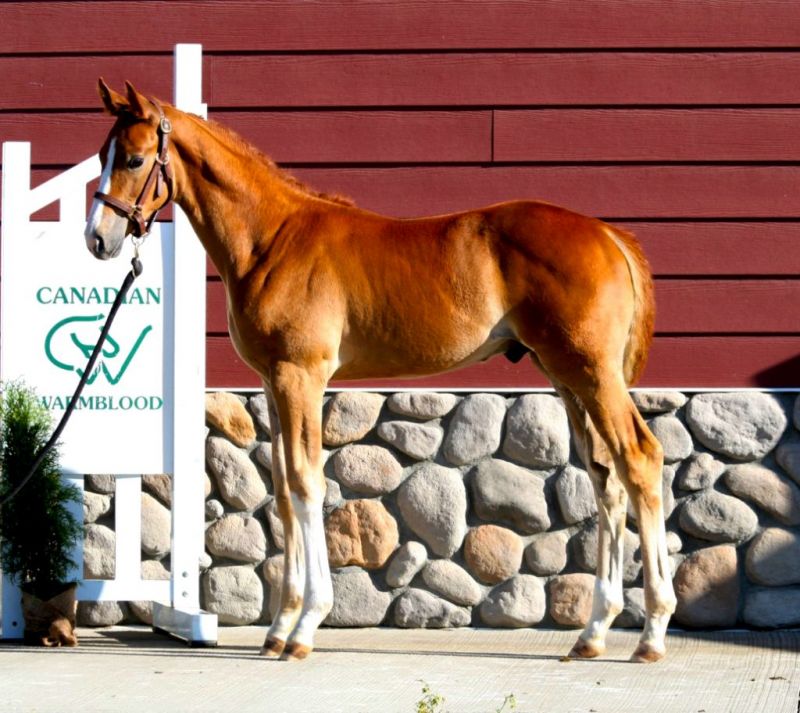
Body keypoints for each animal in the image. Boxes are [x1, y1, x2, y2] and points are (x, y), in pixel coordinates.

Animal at [85, 80, 676, 663]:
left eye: (135, 159)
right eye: (102, 154)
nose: (98, 239)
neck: (271, 239)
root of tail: (608, 235)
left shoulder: (301, 376)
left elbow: (306, 484)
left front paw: (305, 627)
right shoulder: (273, 381)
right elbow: (282, 489)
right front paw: (278, 628)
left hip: (592, 374)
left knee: (640, 460)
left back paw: (651, 635)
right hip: (567, 377)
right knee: (605, 479)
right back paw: (592, 634)